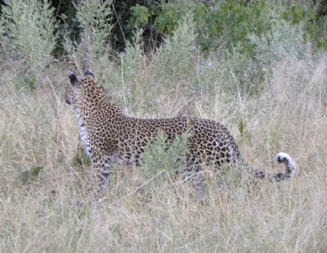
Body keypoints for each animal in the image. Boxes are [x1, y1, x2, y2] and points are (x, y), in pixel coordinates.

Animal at [65, 70, 298, 191]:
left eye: (65, 88)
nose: (64, 97)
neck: (84, 113)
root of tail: (223, 128)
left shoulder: (102, 159)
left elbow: (98, 184)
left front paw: (94, 202)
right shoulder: (106, 161)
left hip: (220, 164)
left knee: (238, 181)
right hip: (191, 170)